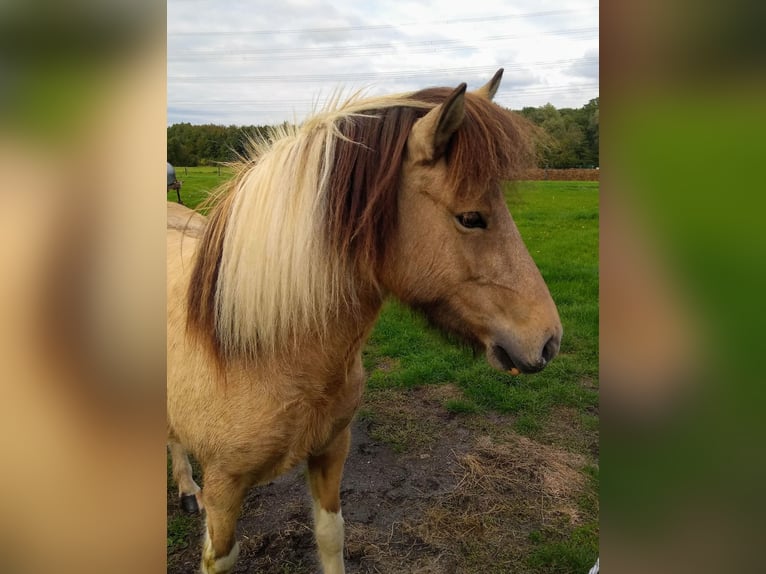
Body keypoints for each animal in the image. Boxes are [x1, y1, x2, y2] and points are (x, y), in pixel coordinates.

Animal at [168, 70, 564, 572]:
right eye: (471, 217)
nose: (549, 341)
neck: (264, 352)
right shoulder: (223, 490)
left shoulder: (331, 450)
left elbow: (330, 535)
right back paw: (187, 489)